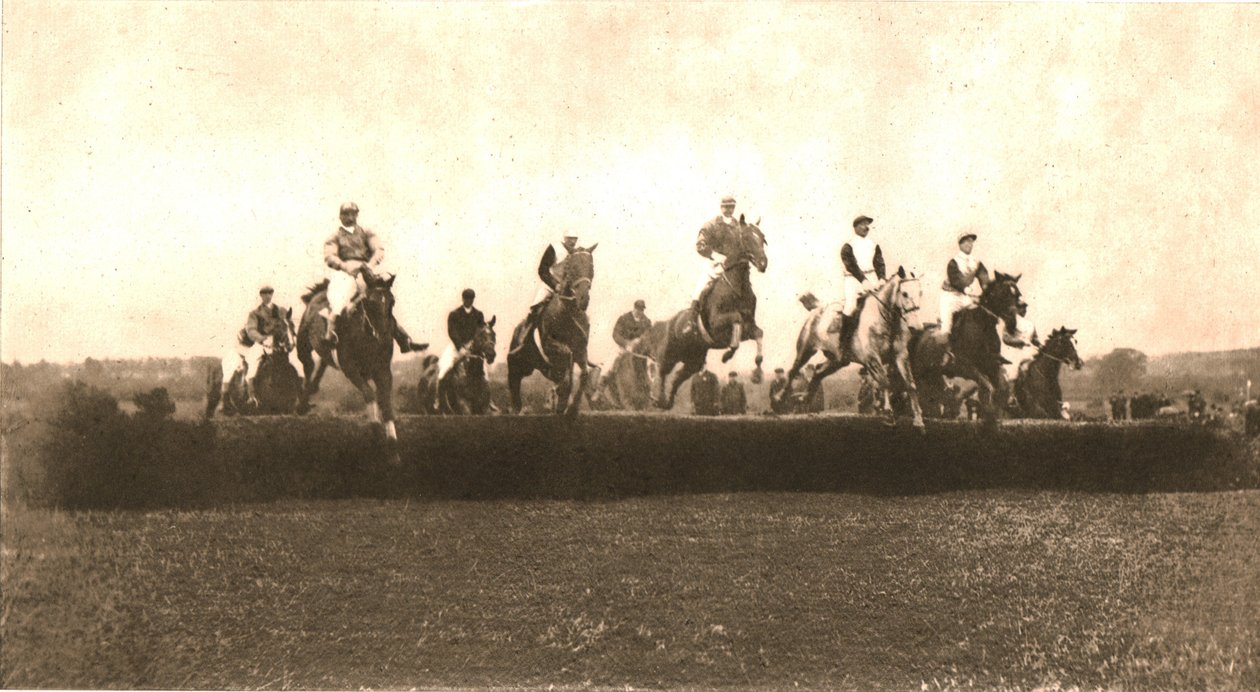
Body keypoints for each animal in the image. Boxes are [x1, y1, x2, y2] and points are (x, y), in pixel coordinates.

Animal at [294, 272, 398, 456]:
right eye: (370, 302)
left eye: (392, 301)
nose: (384, 335)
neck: (367, 337)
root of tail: (318, 293)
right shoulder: (350, 369)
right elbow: (369, 393)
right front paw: (377, 433)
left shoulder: (383, 370)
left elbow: (386, 403)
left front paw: (393, 448)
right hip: (303, 343)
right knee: (308, 365)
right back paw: (303, 403)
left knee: (322, 363)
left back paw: (312, 390)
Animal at [506, 244, 594, 415]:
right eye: (572, 267)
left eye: (591, 267)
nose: (583, 299)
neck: (568, 311)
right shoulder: (550, 344)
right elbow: (567, 358)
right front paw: (562, 403)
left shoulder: (581, 349)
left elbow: (584, 374)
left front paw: (571, 408)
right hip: (519, 364)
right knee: (515, 382)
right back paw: (517, 409)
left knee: (553, 373)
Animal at [640, 218, 766, 408]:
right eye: (747, 237)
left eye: (763, 238)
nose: (763, 264)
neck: (738, 288)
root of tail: (667, 323)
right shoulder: (717, 324)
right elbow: (735, 320)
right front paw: (728, 354)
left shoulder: (748, 328)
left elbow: (759, 333)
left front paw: (757, 374)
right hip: (669, 353)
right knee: (661, 369)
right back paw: (657, 398)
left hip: (694, 359)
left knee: (678, 377)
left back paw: (667, 401)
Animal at [776, 267, 927, 428]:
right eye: (904, 293)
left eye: (920, 293)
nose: (917, 327)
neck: (885, 320)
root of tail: (818, 308)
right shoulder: (872, 358)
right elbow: (885, 382)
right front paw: (888, 413)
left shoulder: (900, 356)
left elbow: (910, 384)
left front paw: (918, 419)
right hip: (806, 349)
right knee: (793, 370)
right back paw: (780, 397)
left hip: (838, 360)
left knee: (818, 371)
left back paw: (806, 398)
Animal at [912, 271, 1028, 423]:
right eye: (1005, 292)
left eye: (1018, 292)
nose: (1023, 307)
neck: (982, 326)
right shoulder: (965, 367)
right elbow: (988, 386)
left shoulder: (992, 365)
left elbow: (1001, 389)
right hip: (920, 373)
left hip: (933, 375)